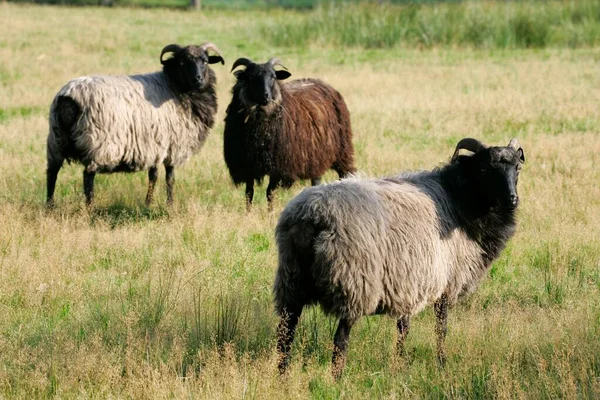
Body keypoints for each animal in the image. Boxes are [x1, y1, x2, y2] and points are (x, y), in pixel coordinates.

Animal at [47, 42, 225, 208]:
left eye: (205, 61)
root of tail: (69, 98)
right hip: (97, 142)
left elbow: (153, 175)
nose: (198, 79)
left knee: (52, 173)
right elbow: (169, 178)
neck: (175, 86)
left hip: (57, 140)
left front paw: (148, 203)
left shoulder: (155, 145)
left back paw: (50, 206)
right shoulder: (172, 145)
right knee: (88, 176)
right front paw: (170, 204)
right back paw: (90, 207)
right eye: (182, 63)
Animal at [225, 57, 356, 211]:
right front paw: (248, 212)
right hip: (316, 156)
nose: (266, 96)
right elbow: (249, 193)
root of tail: (321, 83)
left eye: (273, 76)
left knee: (344, 175)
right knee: (316, 181)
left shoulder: (279, 166)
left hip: (342, 152)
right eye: (250, 77)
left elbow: (270, 192)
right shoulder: (247, 165)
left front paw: (270, 212)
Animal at [274, 138, 524, 378]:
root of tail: (313, 214)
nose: (512, 199)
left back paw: (282, 375)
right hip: (354, 283)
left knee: (286, 334)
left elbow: (403, 328)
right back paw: (337, 380)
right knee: (340, 340)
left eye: (517, 168)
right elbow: (441, 328)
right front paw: (441, 364)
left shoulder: (409, 282)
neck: (459, 200)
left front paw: (399, 365)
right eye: (485, 169)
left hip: (292, 280)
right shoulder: (445, 282)